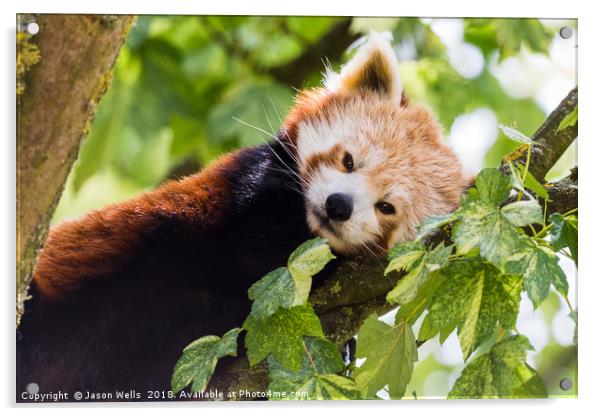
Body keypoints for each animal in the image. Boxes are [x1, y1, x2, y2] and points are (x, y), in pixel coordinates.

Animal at [14, 33, 464, 400]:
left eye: (386, 207)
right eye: (348, 160)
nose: (338, 205)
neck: (301, 230)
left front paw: (345, 345)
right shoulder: (246, 196)